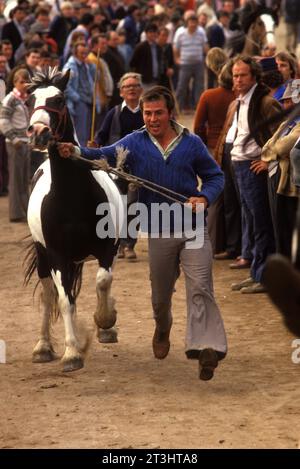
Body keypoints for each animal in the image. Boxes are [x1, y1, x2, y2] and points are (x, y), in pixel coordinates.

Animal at [24, 67, 125, 372]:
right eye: (29, 101)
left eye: (58, 99)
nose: (38, 132)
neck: (71, 197)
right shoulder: (57, 255)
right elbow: (64, 301)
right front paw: (71, 353)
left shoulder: (108, 248)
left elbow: (103, 281)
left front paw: (106, 320)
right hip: (44, 257)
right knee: (50, 294)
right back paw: (43, 347)